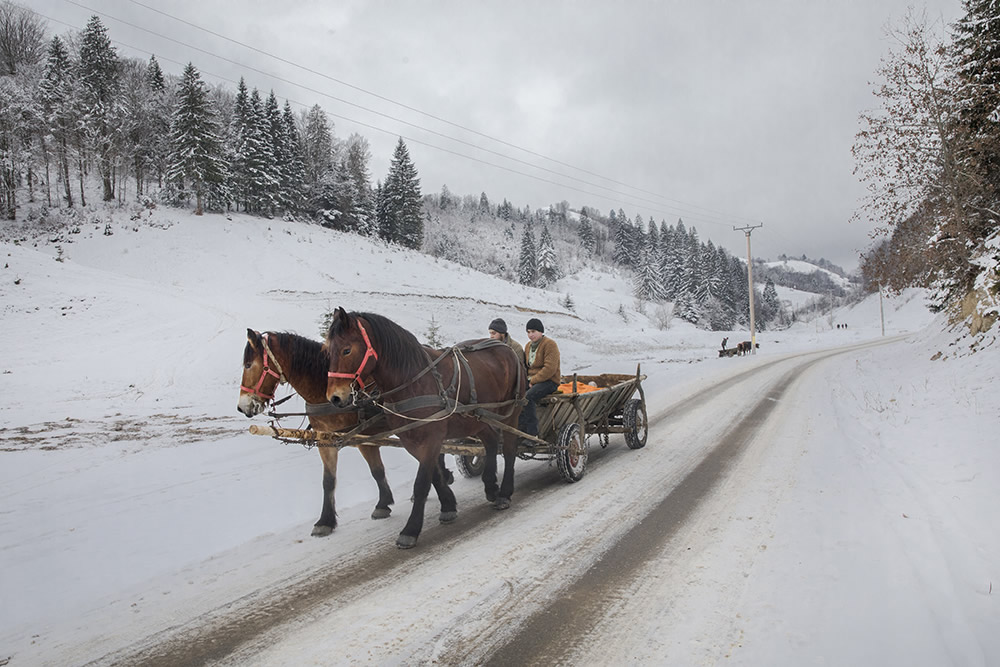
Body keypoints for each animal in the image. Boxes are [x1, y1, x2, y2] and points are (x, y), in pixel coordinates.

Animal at [239, 328, 398, 536]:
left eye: (249, 365)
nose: (242, 407)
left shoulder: (364, 438)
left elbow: (377, 470)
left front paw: (383, 504)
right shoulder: (325, 441)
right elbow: (328, 481)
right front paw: (325, 521)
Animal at [328, 308, 532, 548]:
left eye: (347, 350)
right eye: (327, 350)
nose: (334, 398)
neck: (413, 380)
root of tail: (505, 347)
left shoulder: (431, 438)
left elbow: (421, 483)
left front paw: (411, 529)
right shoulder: (411, 440)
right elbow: (434, 475)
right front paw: (448, 505)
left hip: (511, 412)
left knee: (508, 450)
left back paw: (504, 493)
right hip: (477, 418)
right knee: (491, 442)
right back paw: (491, 486)